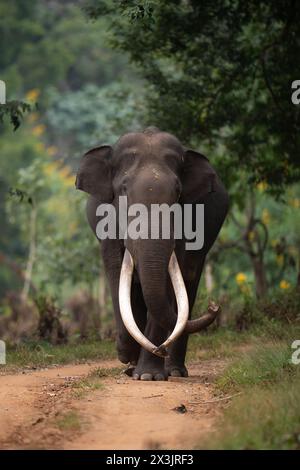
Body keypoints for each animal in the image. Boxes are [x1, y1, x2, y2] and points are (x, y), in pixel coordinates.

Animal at [76, 126, 229, 380]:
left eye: (177, 192)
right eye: (124, 190)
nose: (214, 305)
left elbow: (167, 282)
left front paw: (148, 375)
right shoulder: (107, 223)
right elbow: (116, 275)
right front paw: (128, 357)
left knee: (188, 287)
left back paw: (174, 370)